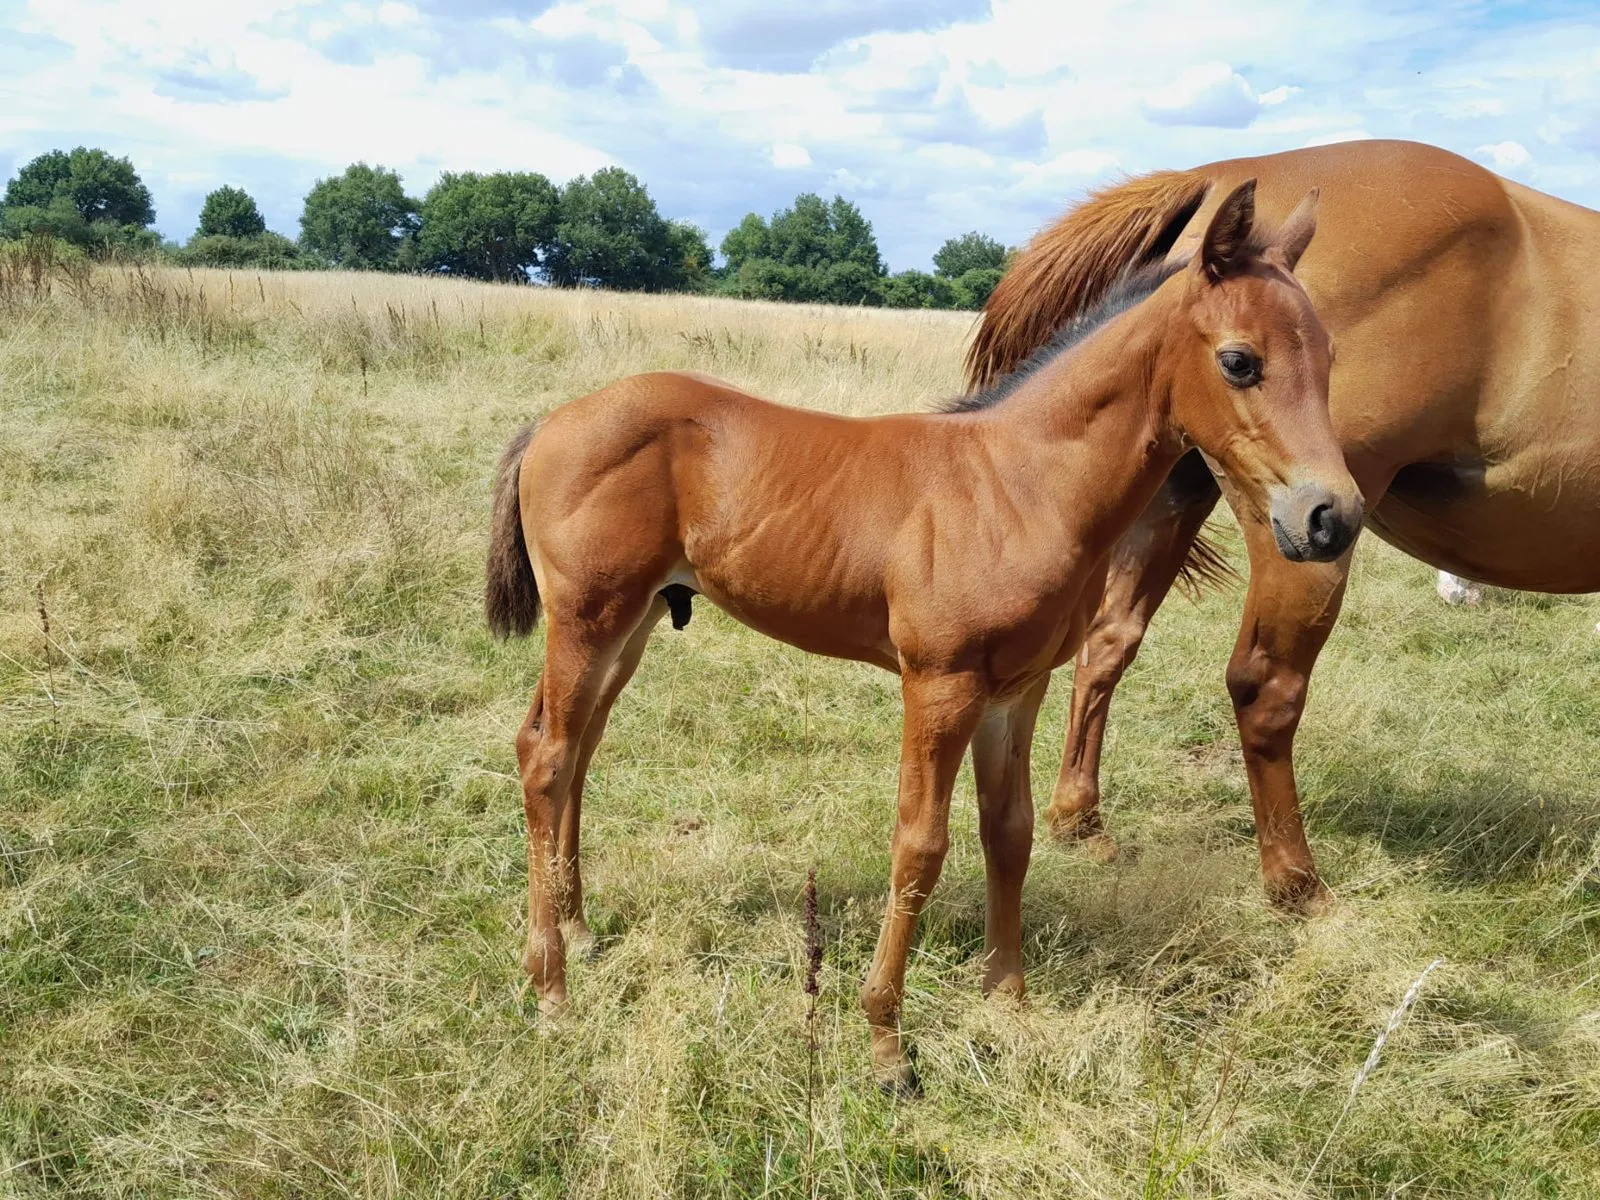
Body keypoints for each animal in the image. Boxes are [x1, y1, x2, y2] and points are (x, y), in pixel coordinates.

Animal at [485, 182, 1356, 1089]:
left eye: (1329, 356)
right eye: (1240, 361)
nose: (1331, 518)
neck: (1020, 485)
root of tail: (551, 422)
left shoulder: (1019, 687)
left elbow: (1008, 832)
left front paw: (1008, 1002)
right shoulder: (940, 683)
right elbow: (921, 845)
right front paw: (885, 1042)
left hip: (638, 619)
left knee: (576, 747)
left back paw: (579, 929)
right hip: (589, 618)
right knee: (547, 755)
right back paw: (549, 984)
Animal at [967, 139, 1600, 912]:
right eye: (1243, 361)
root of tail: (1217, 174)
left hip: (1179, 494)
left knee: (1109, 643)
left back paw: (1079, 820)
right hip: (1296, 538)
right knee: (1264, 685)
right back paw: (1296, 882)